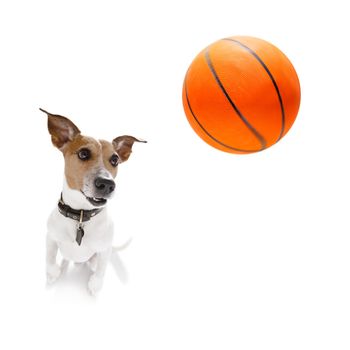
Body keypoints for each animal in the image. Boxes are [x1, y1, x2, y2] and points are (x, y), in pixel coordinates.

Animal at [41, 108, 146, 294]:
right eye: (83, 154)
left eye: (115, 160)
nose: (107, 184)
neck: (81, 215)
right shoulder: (51, 238)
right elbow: (50, 260)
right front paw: (52, 275)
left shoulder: (104, 250)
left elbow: (101, 271)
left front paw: (95, 285)